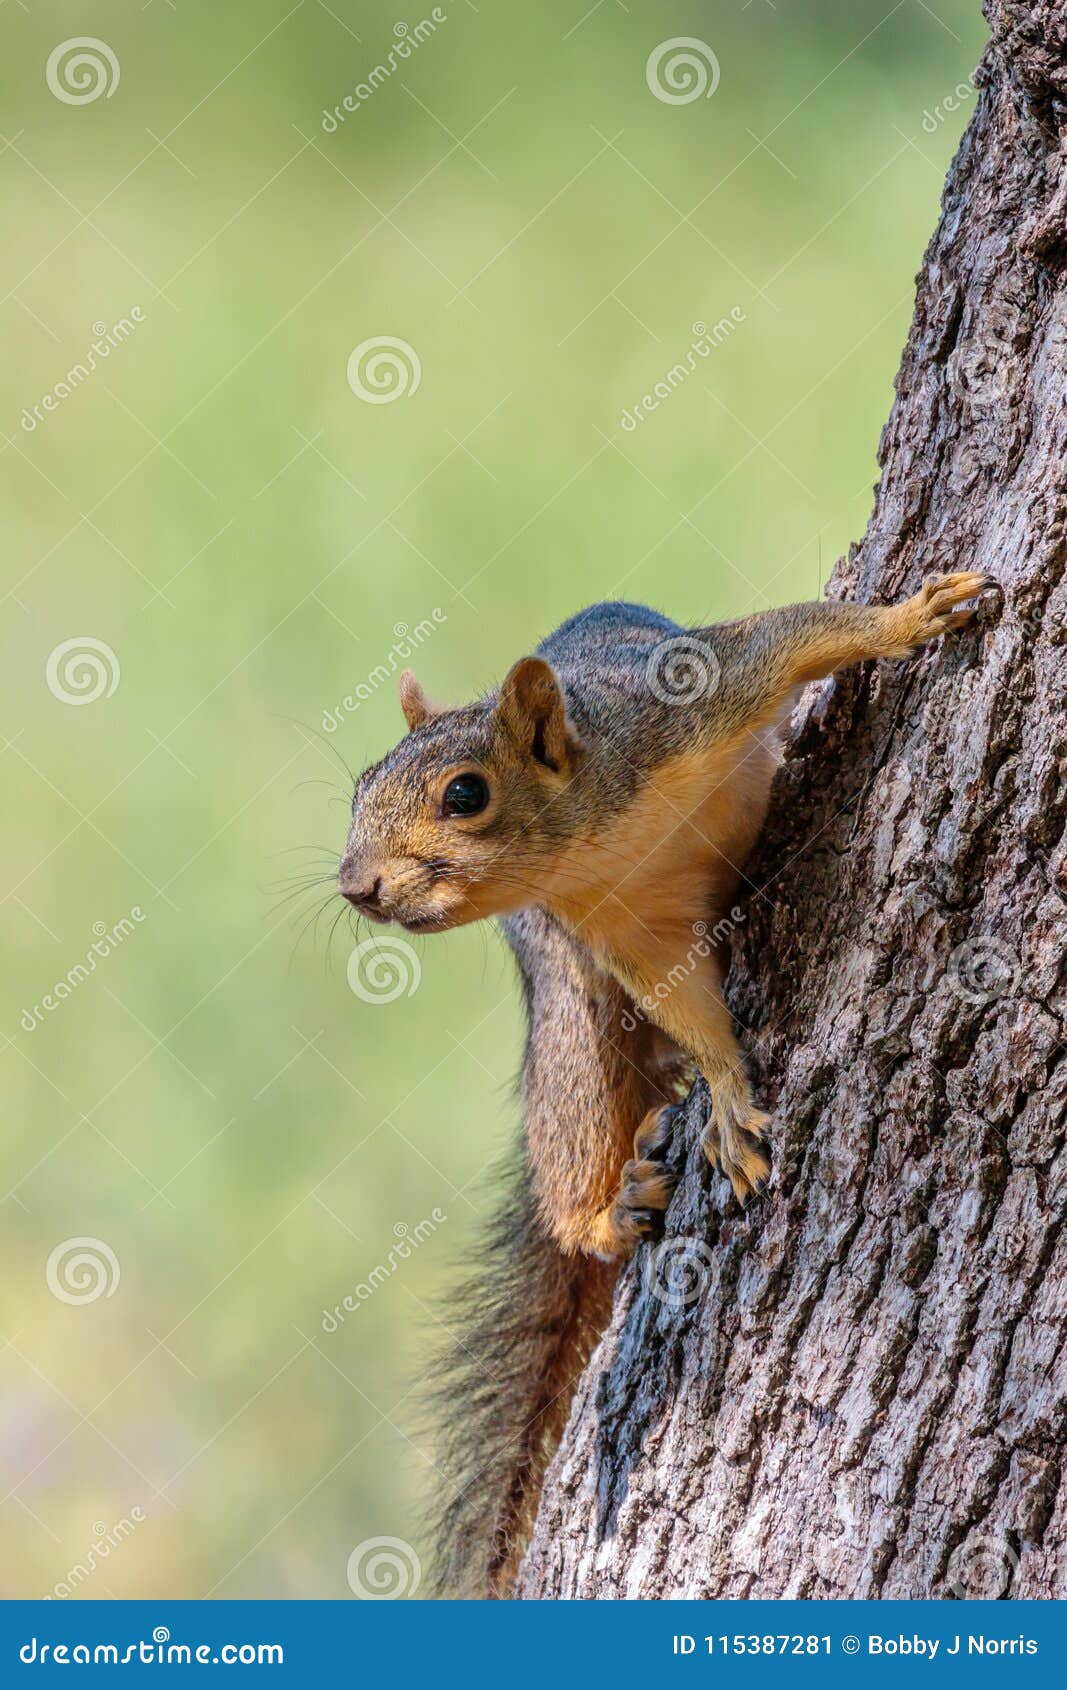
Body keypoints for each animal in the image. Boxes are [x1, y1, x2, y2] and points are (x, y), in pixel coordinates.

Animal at [336, 573, 990, 1596]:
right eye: (360, 786)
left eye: (465, 794)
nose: (354, 885)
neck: (593, 842)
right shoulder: (621, 931)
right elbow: (688, 1004)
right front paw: (724, 1093)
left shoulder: (687, 699)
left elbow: (795, 635)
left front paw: (910, 617)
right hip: (574, 1015)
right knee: (578, 1136)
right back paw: (611, 1206)